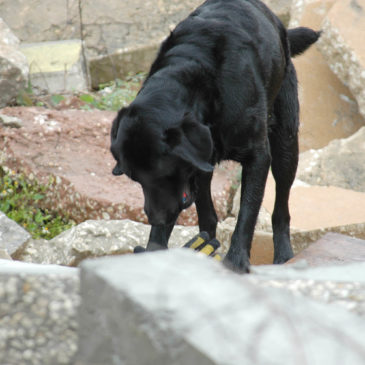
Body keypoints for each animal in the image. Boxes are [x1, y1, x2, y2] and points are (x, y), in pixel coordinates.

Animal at [110, 0, 318, 272]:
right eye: (136, 179)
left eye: (164, 174)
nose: (155, 217)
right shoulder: (191, 171)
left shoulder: (258, 157)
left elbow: (247, 214)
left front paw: (236, 261)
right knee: (208, 216)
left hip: (286, 144)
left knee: (281, 208)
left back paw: (283, 254)